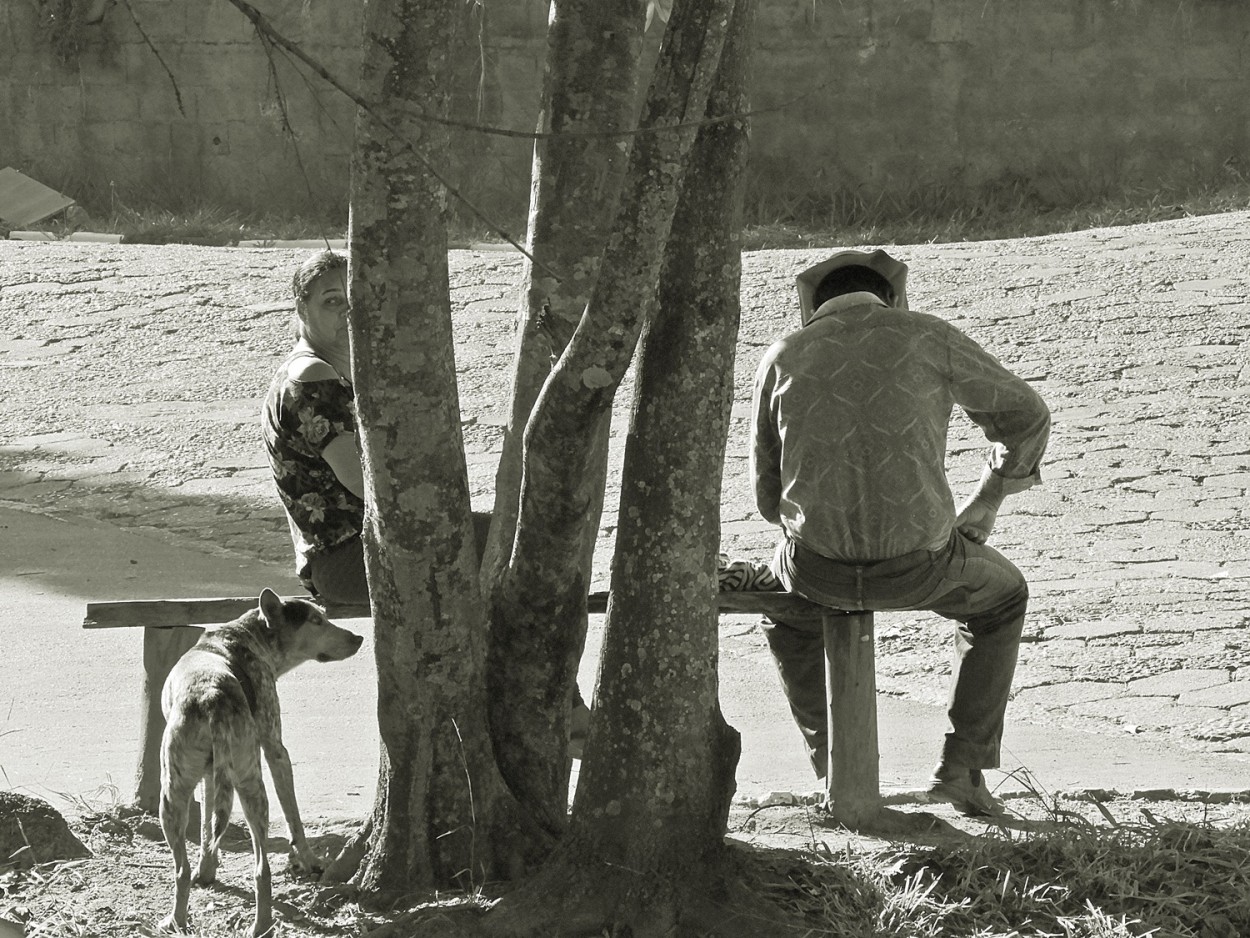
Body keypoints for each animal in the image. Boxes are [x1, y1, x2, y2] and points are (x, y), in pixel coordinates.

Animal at [156, 590, 362, 935]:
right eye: (316, 620)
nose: (358, 638)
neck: (247, 634)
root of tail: (211, 697)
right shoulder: (276, 750)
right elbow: (294, 819)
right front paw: (310, 861)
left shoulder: (211, 775)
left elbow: (207, 825)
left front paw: (206, 870)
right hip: (252, 783)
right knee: (261, 870)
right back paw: (262, 924)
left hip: (173, 793)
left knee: (181, 870)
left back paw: (176, 920)